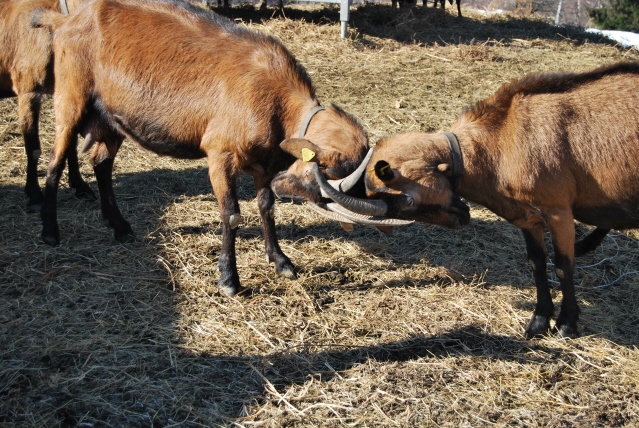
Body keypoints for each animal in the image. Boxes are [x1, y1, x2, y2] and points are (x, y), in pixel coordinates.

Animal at [328, 61, 639, 340]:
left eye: (408, 200)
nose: (461, 218)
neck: (503, 138)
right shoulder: (528, 216)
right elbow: (536, 262)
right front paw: (538, 322)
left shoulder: (557, 210)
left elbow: (563, 266)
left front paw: (566, 325)